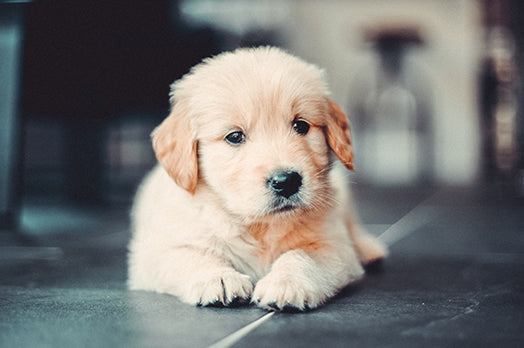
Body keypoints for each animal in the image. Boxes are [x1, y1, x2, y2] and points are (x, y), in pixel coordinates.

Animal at [128, 46, 386, 310]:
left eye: (301, 125)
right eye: (234, 136)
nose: (286, 181)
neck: (258, 224)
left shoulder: (333, 245)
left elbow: (301, 255)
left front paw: (286, 282)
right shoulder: (156, 251)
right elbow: (191, 255)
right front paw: (219, 277)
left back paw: (369, 248)